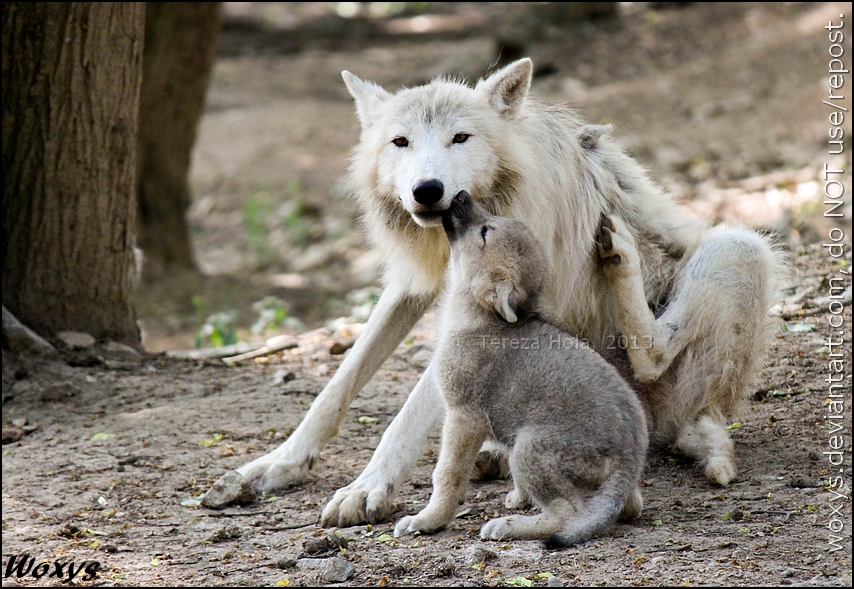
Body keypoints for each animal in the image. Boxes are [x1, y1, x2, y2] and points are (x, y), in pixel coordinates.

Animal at [229, 56, 784, 528]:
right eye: (400, 142)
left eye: (460, 137)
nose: (427, 190)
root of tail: (705, 417)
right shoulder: (411, 287)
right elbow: (336, 387)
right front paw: (276, 465)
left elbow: (403, 419)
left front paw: (367, 488)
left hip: (739, 246)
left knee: (654, 353)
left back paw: (620, 255)